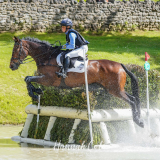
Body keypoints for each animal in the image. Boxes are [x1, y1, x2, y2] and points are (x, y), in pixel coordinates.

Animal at [9, 36, 144, 127]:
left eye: (16, 50)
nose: (11, 66)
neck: (46, 57)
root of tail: (120, 65)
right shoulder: (44, 78)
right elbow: (27, 78)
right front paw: (36, 92)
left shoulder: (49, 79)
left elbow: (28, 78)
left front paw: (35, 93)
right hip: (115, 89)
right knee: (135, 98)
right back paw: (141, 119)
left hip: (115, 90)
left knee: (132, 101)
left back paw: (138, 121)